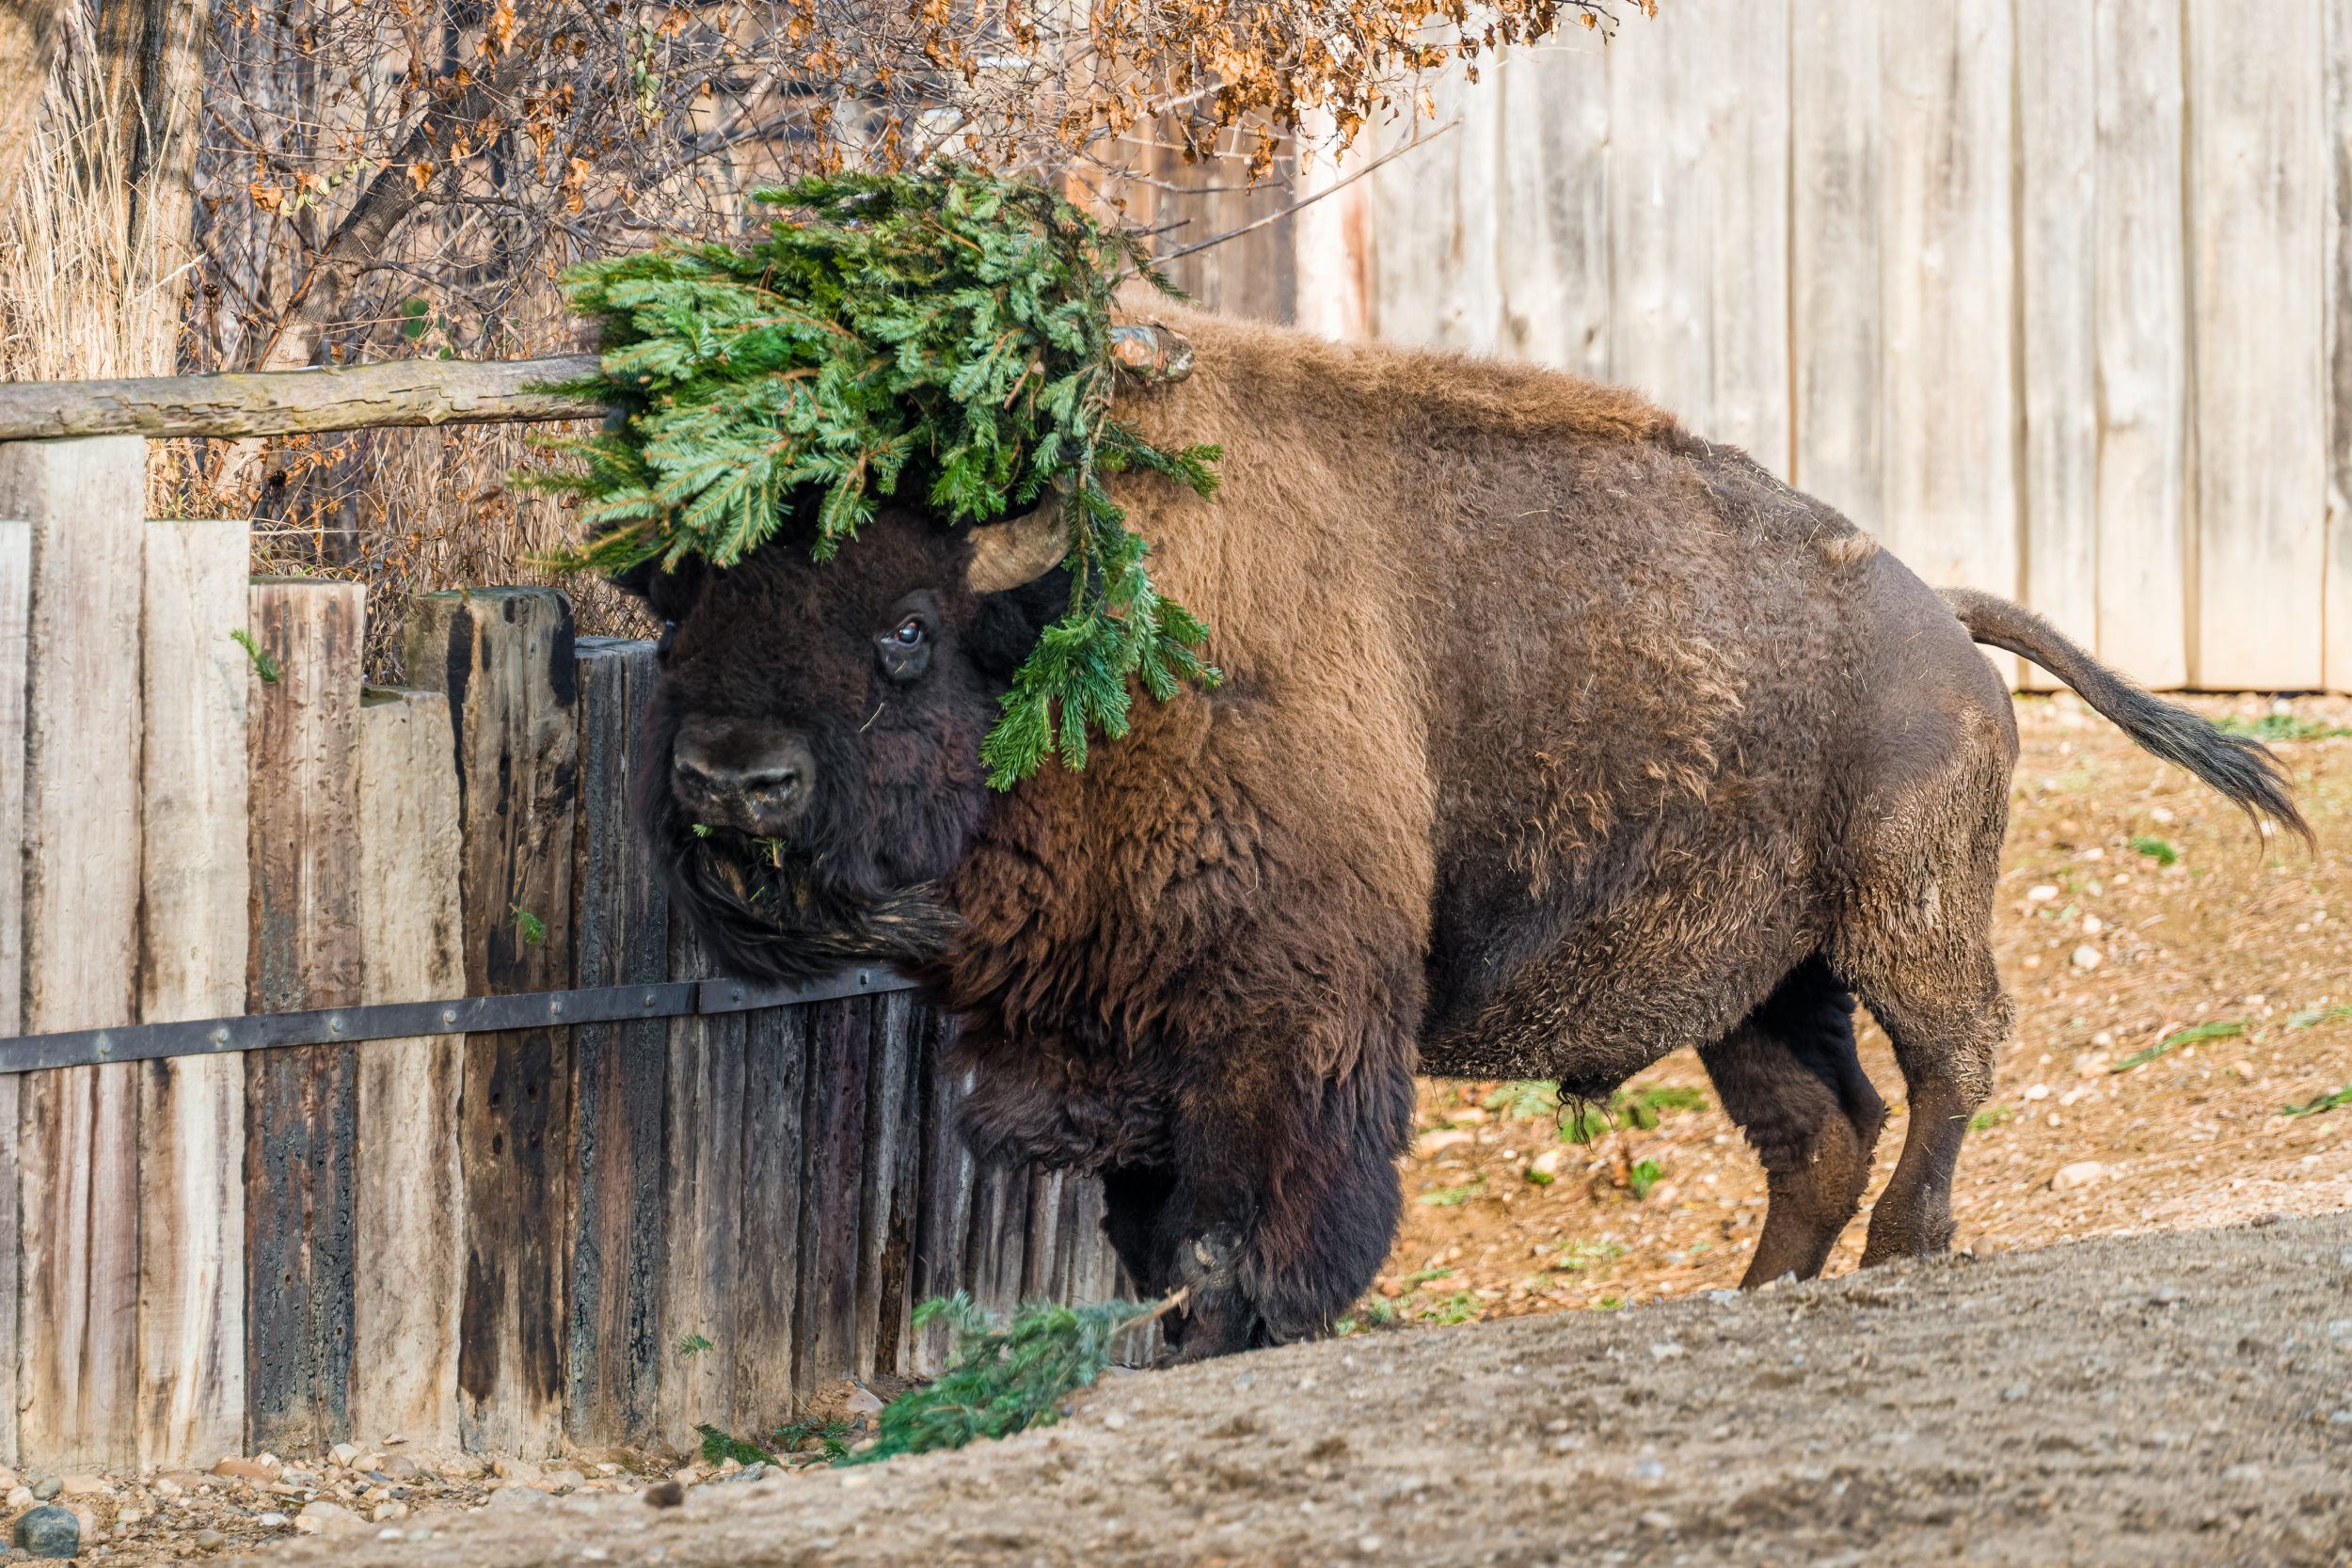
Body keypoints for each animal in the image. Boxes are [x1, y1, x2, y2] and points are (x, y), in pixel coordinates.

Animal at [621, 305, 2296, 1363]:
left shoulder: (1290, 1013)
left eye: (904, 631)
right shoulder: (1120, 1032)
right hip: (1756, 985)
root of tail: (1940, 611)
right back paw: (1749, 1291)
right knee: (1821, 1125)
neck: (1076, 636)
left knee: (1954, 1055)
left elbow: (1260, 1204)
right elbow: (1153, 1218)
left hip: (1904, 913)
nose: (730, 777)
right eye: (690, 605)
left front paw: (1255, 1319)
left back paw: (1909, 1242)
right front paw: (1177, 1327)